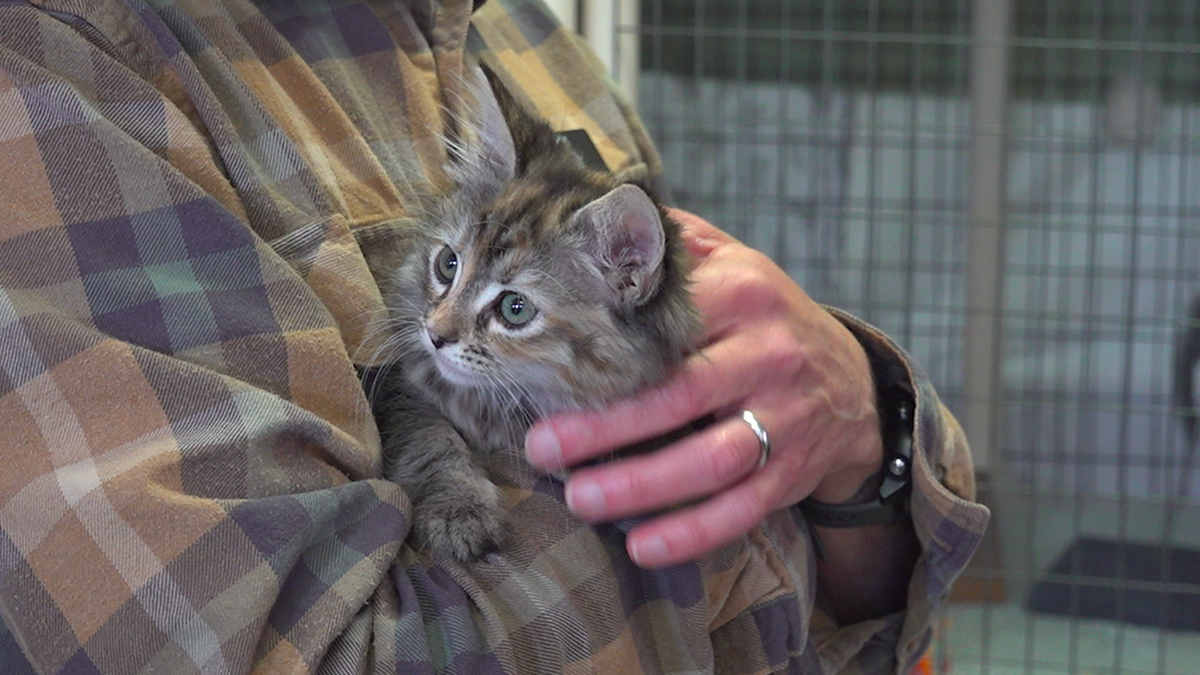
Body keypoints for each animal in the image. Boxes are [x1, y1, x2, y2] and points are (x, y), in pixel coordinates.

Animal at [369, 66, 700, 562]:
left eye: (515, 308)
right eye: (448, 264)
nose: (435, 335)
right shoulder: (404, 388)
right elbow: (431, 441)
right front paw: (458, 510)